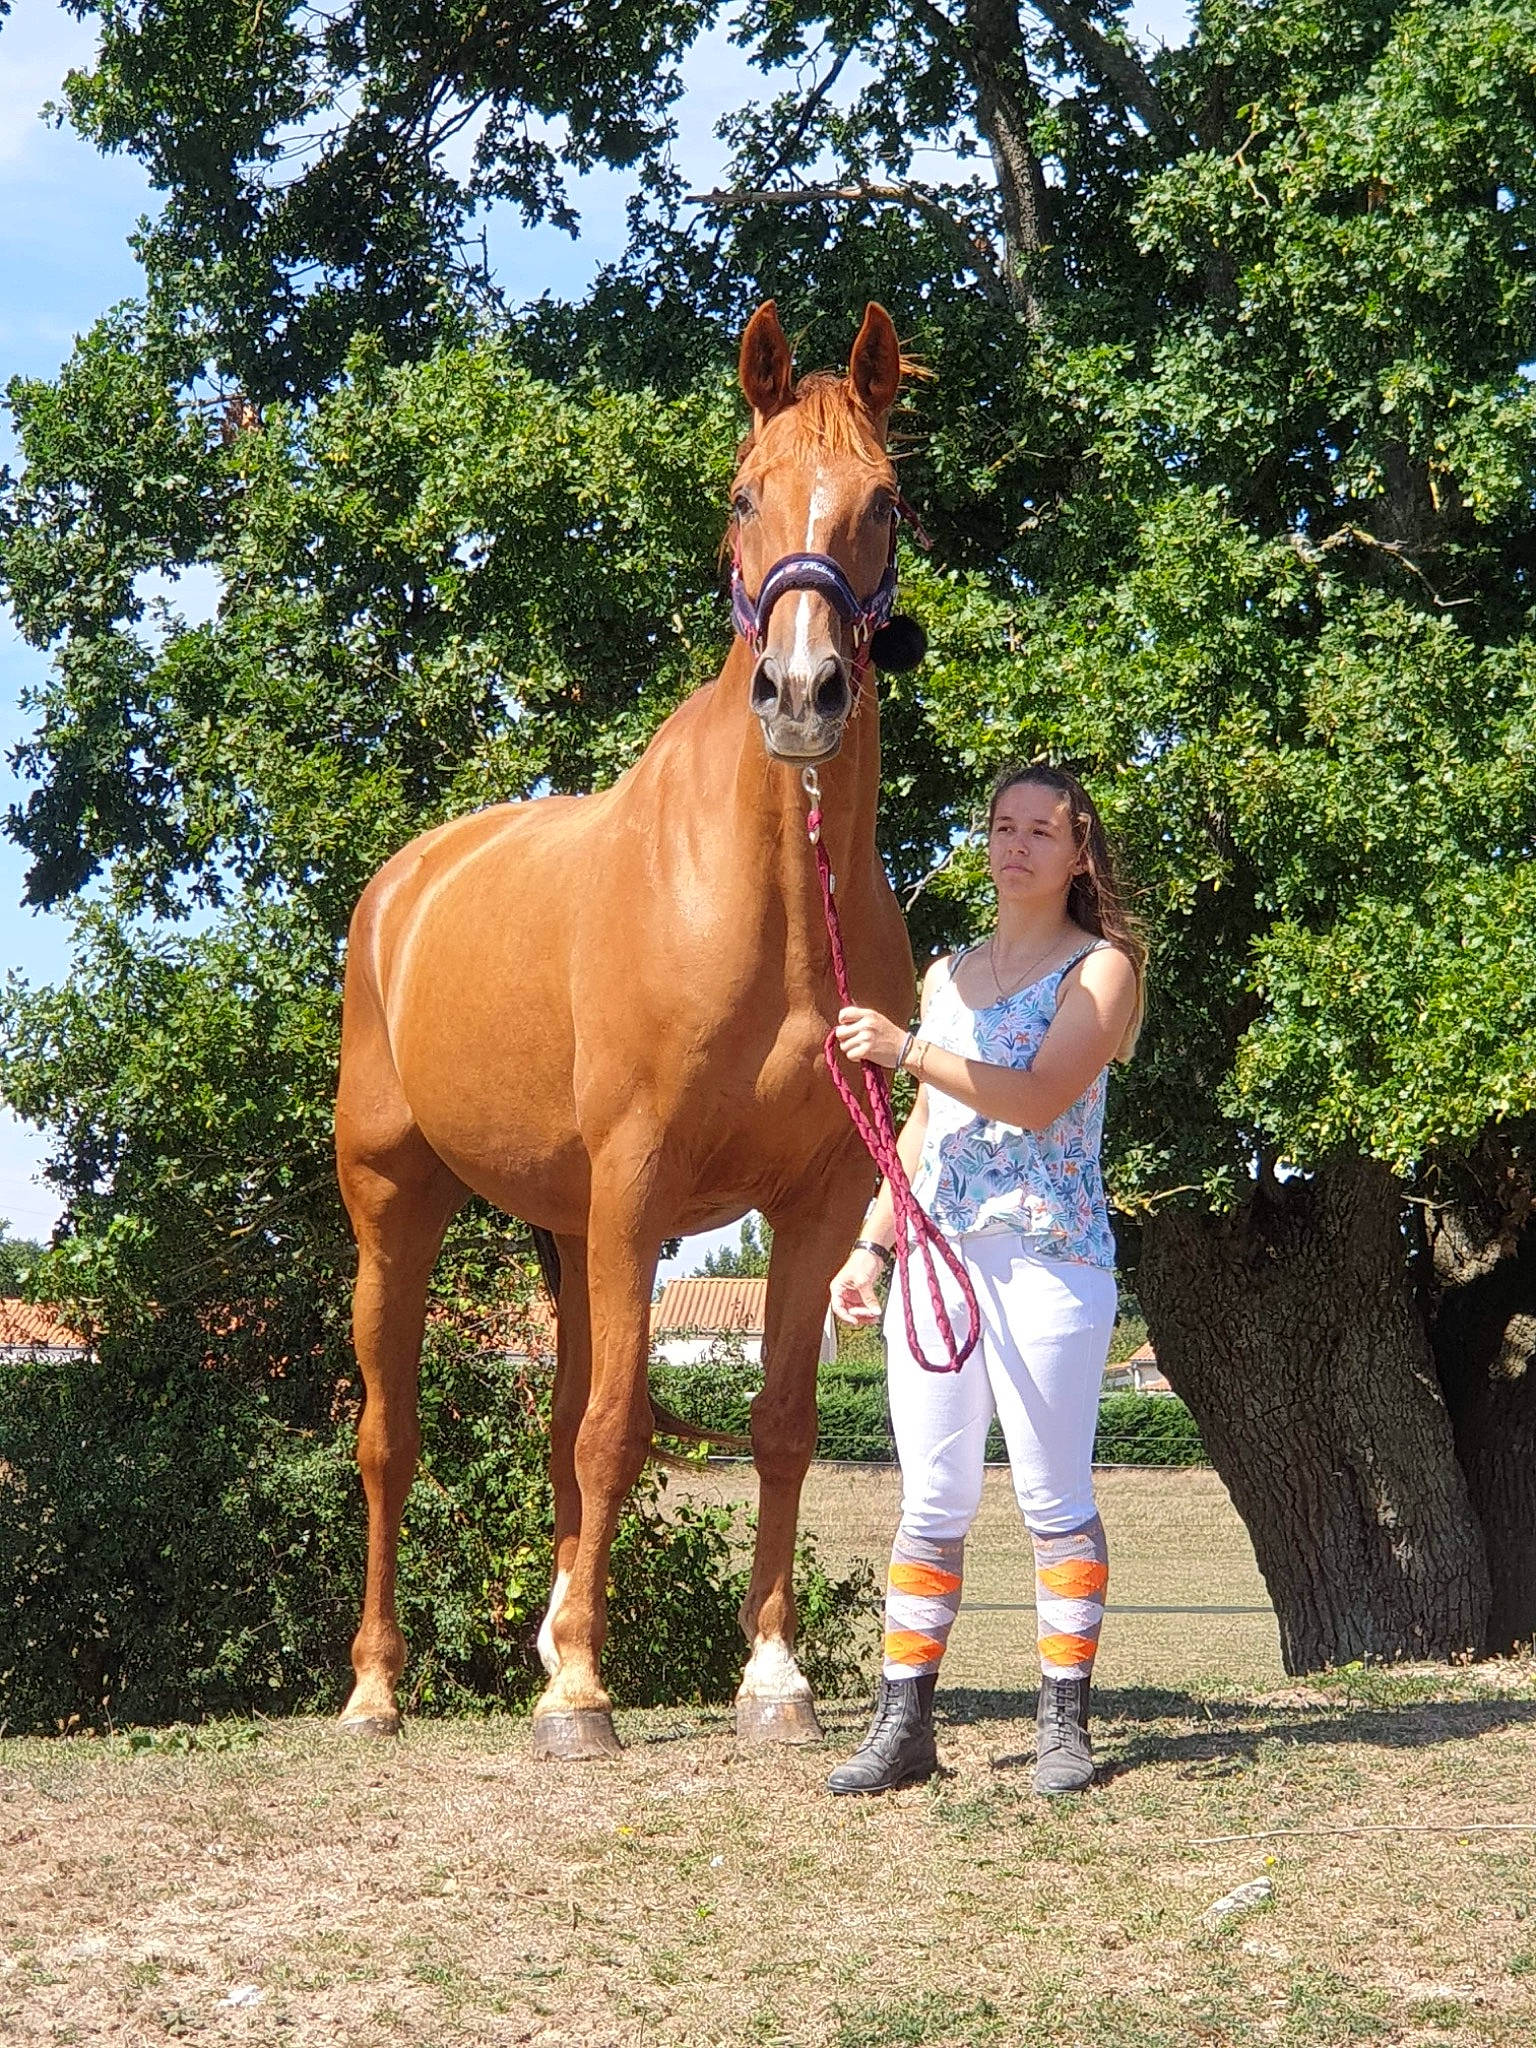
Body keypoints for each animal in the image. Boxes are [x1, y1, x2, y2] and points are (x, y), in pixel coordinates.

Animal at [334, 300, 918, 1758]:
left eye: (884, 501)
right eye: (743, 491)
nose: (805, 690)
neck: (769, 909)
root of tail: (402, 887)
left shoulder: (813, 1201)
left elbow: (774, 1424)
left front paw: (770, 1677)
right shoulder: (641, 1183)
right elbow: (616, 1433)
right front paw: (583, 1697)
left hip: (569, 1224)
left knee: (554, 1427)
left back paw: (546, 1635)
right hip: (399, 1208)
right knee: (388, 1438)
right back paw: (375, 1686)